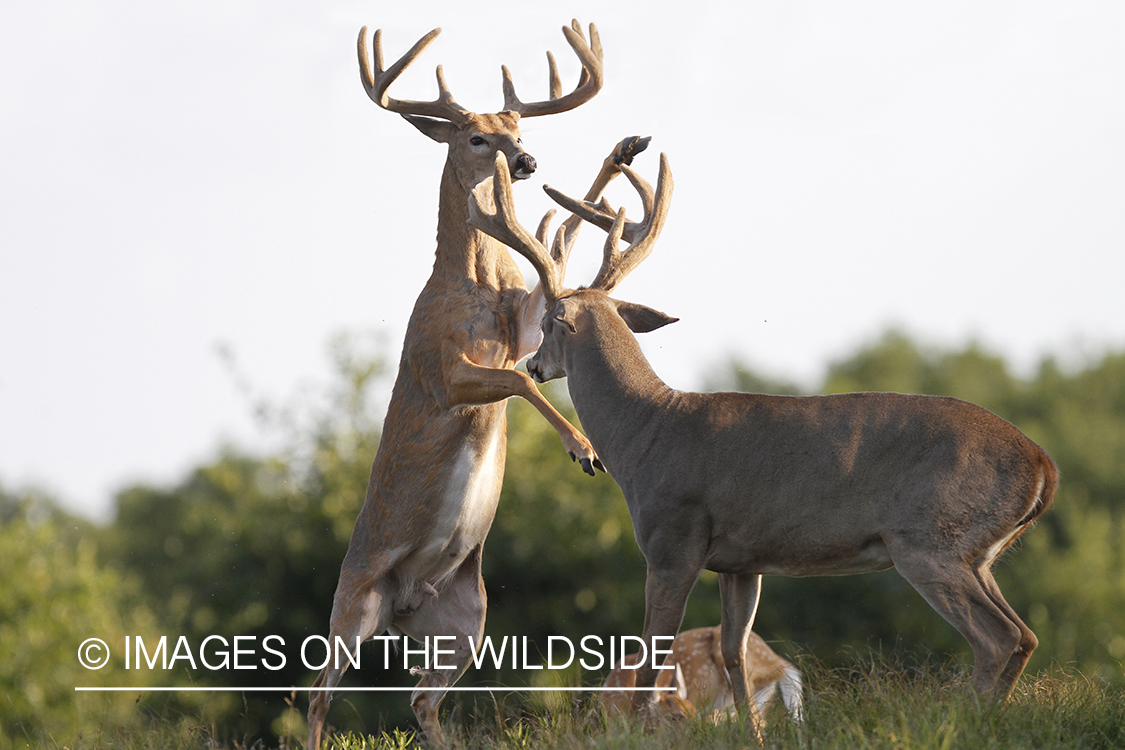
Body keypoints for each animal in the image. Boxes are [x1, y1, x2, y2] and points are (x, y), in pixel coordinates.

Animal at [308, 23, 652, 750]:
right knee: (316, 696)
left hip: (468, 619)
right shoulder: (444, 370)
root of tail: (402, 605)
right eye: (473, 137)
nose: (524, 160)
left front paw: (624, 150)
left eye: (516, 125)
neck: (473, 285)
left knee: (421, 701)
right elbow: (518, 381)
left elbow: (563, 244)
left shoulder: (521, 322)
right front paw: (584, 450)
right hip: (351, 602)